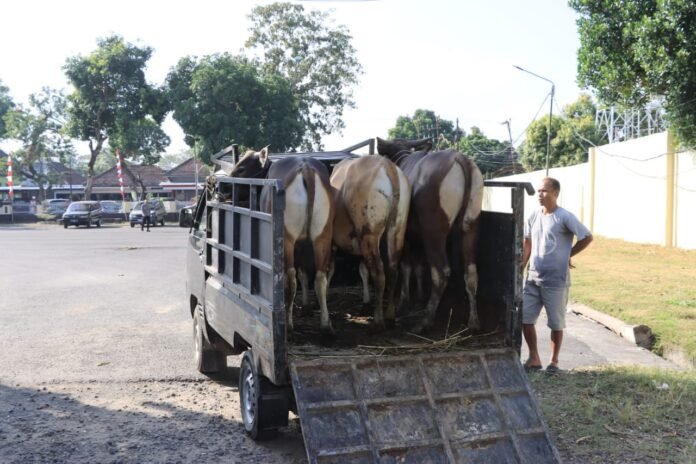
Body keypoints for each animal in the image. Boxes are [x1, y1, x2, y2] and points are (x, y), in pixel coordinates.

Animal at [230, 148, 336, 334]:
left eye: (241, 169)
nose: (221, 186)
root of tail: (305, 167)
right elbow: (304, 273)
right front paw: (306, 305)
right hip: (322, 236)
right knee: (320, 278)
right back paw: (325, 324)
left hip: (287, 239)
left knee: (291, 279)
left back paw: (289, 321)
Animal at [328, 154, 410, 328]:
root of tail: (388, 167)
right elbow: (363, 269)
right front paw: (366, 302)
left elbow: (330, 269)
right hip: (397, 230)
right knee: (392, 270)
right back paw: (390, 316)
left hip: (369, 233)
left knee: (379, 273)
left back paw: (378, 320)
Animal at [376, 136, 484, 332]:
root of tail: (461, 160)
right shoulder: (417, 238)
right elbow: (418, 267)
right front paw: (418, 299)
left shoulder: (408, 236)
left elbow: (406, 266)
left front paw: (404, 302)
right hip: (469, 227)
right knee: (471, 273)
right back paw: (473, 321)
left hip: (433, 233)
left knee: (441, 272)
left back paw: (425, 320)